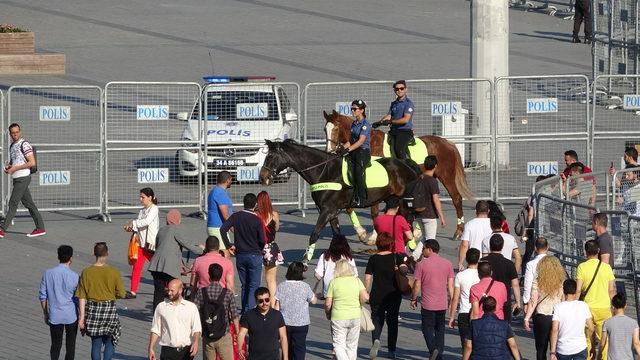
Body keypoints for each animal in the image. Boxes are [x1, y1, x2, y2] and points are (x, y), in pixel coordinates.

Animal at [322, 109, 472, 239]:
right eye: (325, 129)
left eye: (336, 128)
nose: (329, 151)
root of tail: (447, 143)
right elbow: (349, 208)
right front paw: (361, 232)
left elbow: (374, 211)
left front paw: (373, 236)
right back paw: (418, 231)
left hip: (446, 177)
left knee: (456, 199)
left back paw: (458, 232)